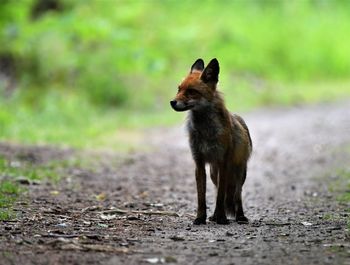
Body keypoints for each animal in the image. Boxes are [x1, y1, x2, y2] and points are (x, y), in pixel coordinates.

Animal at [170, 58, 252, 225]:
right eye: (179, 89)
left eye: (191, 91)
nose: (172, 102)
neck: (205, 131)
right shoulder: (199, 163)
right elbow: (202, 197)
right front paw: (200, 218)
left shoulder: (223, 162)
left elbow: (221, 196)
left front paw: (221, 218)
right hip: (214, 174)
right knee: (219, 193)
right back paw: (213, 216)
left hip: (239, 173)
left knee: (237, 196)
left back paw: (240, 216)